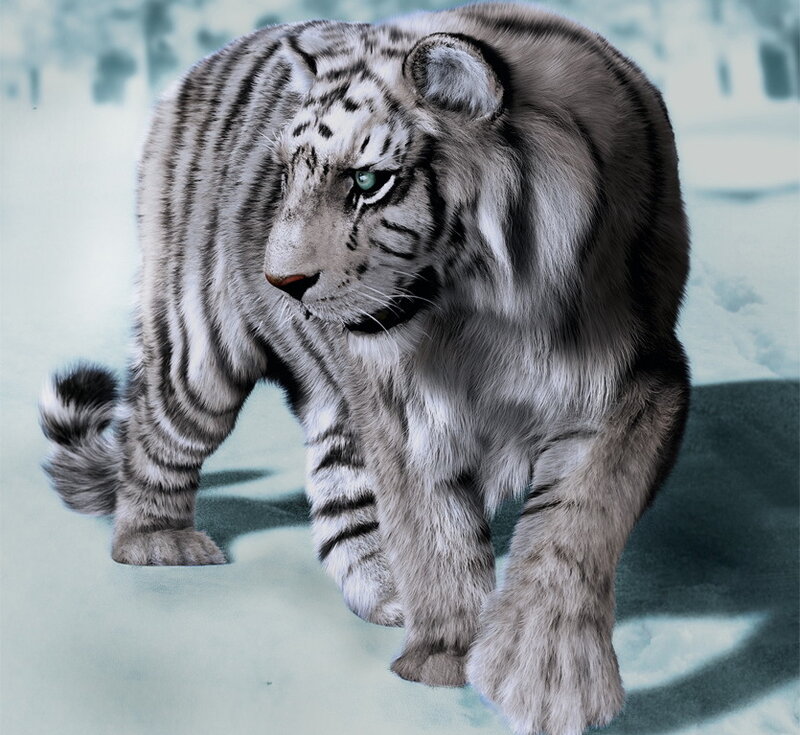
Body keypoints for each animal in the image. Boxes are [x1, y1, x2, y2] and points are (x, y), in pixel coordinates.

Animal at [39, 2, 690, 734]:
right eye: (287, 176)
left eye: (368, 182)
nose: (281, 282)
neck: (493, 309)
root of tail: (207, 63)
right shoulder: (406, 402)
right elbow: (436, 530)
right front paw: (445, 658)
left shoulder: (635, 380)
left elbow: (576, 524)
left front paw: (548, 682)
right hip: (198, 351)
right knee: (156, 435)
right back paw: (159, 543)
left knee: (339, 498)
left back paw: (386, 594)